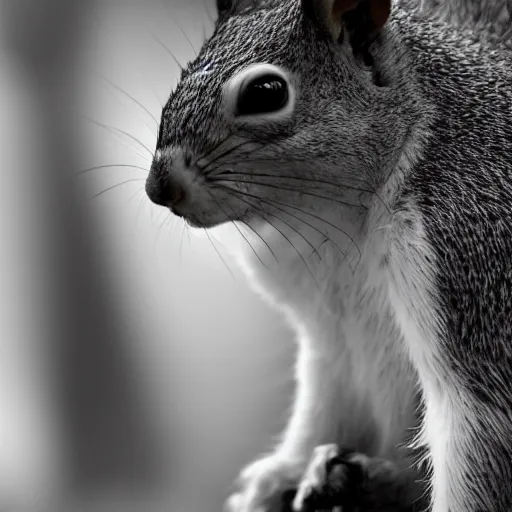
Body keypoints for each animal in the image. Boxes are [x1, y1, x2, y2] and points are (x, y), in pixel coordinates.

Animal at [144, 0, 512, 510]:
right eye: (184, 71)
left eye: (266, 92)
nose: (158, 187)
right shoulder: (328, 326)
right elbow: (329, 399)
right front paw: (281, 474)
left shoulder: (469, 245)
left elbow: (479, 421)